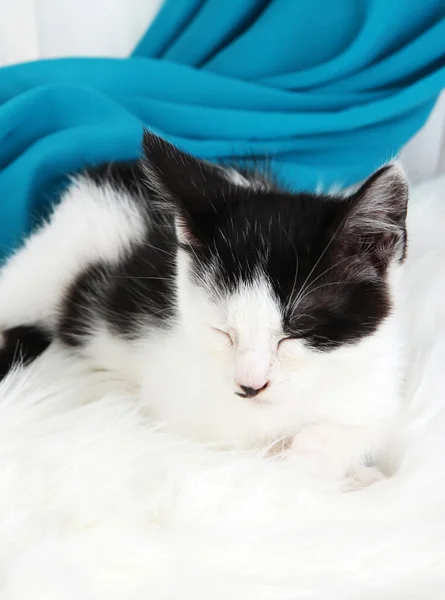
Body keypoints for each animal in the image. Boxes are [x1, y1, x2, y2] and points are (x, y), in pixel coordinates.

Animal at [0, 131, 406, 482]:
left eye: (296, 333)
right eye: (222, 331)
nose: (250, 387)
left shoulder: (376, 371)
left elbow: (371, 423)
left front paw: (346, 464)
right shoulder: (179, 399)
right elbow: (238, 443)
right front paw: (304, 458)